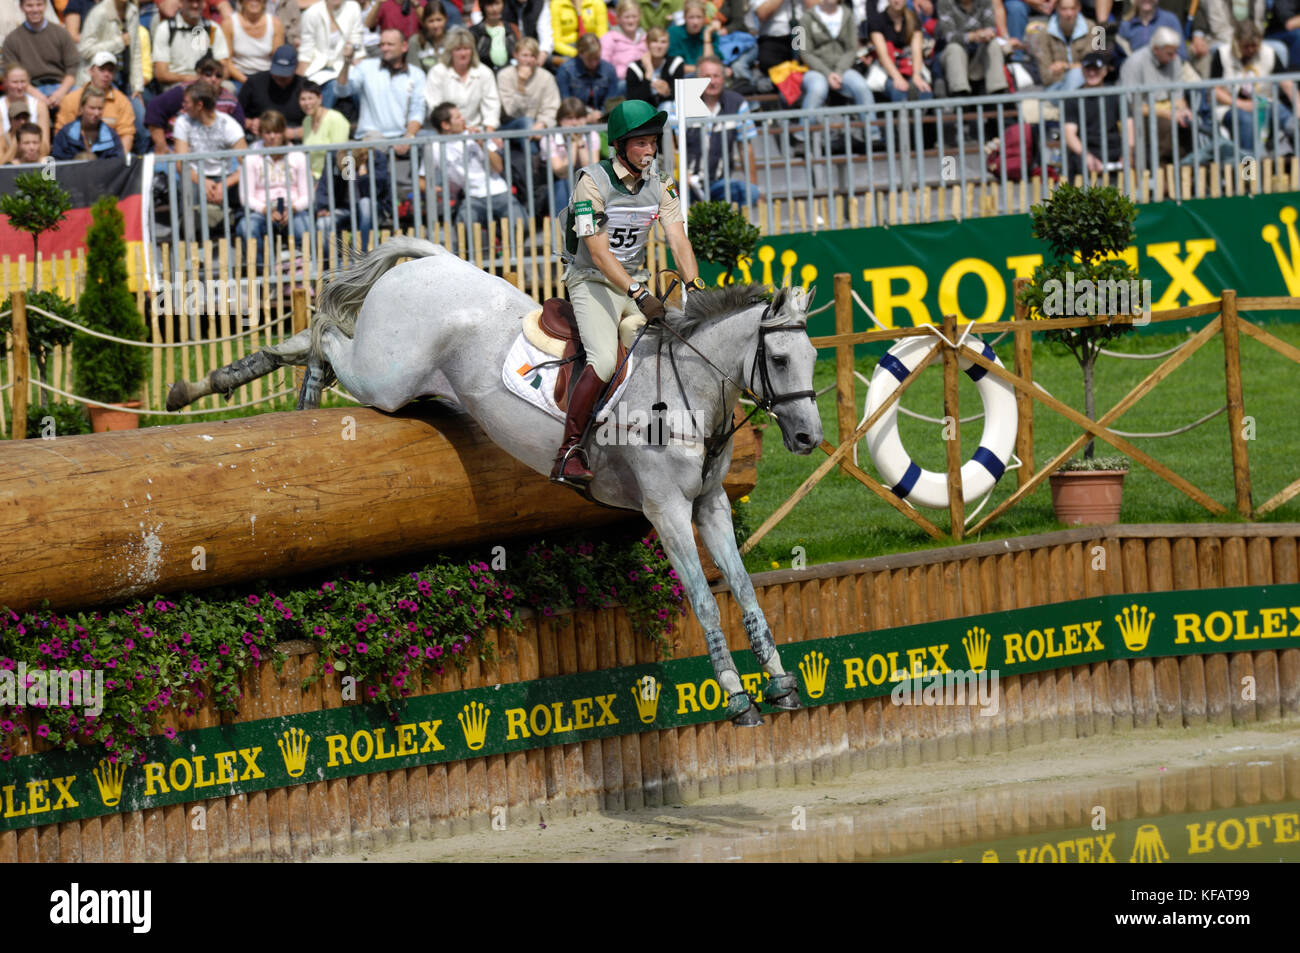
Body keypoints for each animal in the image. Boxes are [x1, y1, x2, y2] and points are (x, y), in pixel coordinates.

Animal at [170, 237, 821, 722]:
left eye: (813, 358)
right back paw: (287, 386)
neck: (691, 389)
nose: (809, 439)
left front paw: (782, 684)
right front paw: (737, 698)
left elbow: (744, 591)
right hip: (385, 376)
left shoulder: (710, 506)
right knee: (326, 334)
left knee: (313, 336)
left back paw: (209, 384)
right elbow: (705, 602)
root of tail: (433, 262)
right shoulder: (665, 510)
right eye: (780, 360)